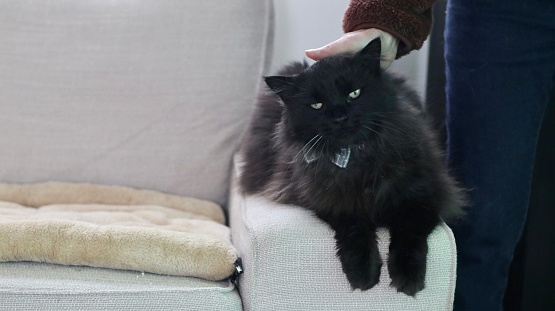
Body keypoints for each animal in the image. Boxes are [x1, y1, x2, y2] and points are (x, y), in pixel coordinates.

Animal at [239, 39, 464, 298]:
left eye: (354, 93)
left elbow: (408, 235)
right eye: (317, 105)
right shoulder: (334, 202)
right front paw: (363, 273)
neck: (357, 158)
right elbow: (356, 232)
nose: (340, 118)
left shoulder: (424, 197)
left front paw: (407, 277)